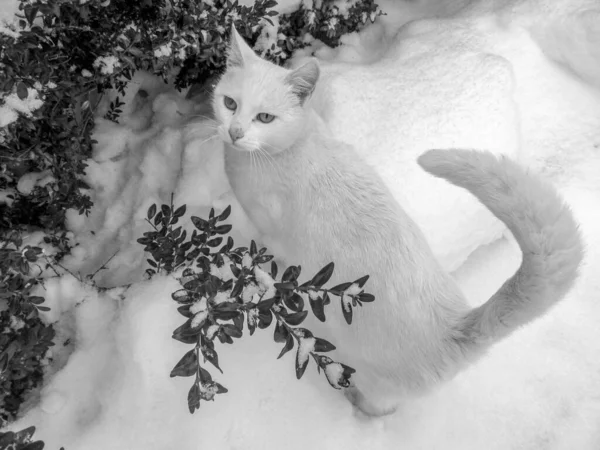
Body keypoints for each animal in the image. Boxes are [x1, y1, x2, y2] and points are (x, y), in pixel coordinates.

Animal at [210, 27, 580, 414]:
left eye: (264, 118)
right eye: (230, 103)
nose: (235, 132)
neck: (291, 146)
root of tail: (457, 326)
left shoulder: (270, 227)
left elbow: (268, 255)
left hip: (376, 377)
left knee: (380, 405)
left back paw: (351, 398)